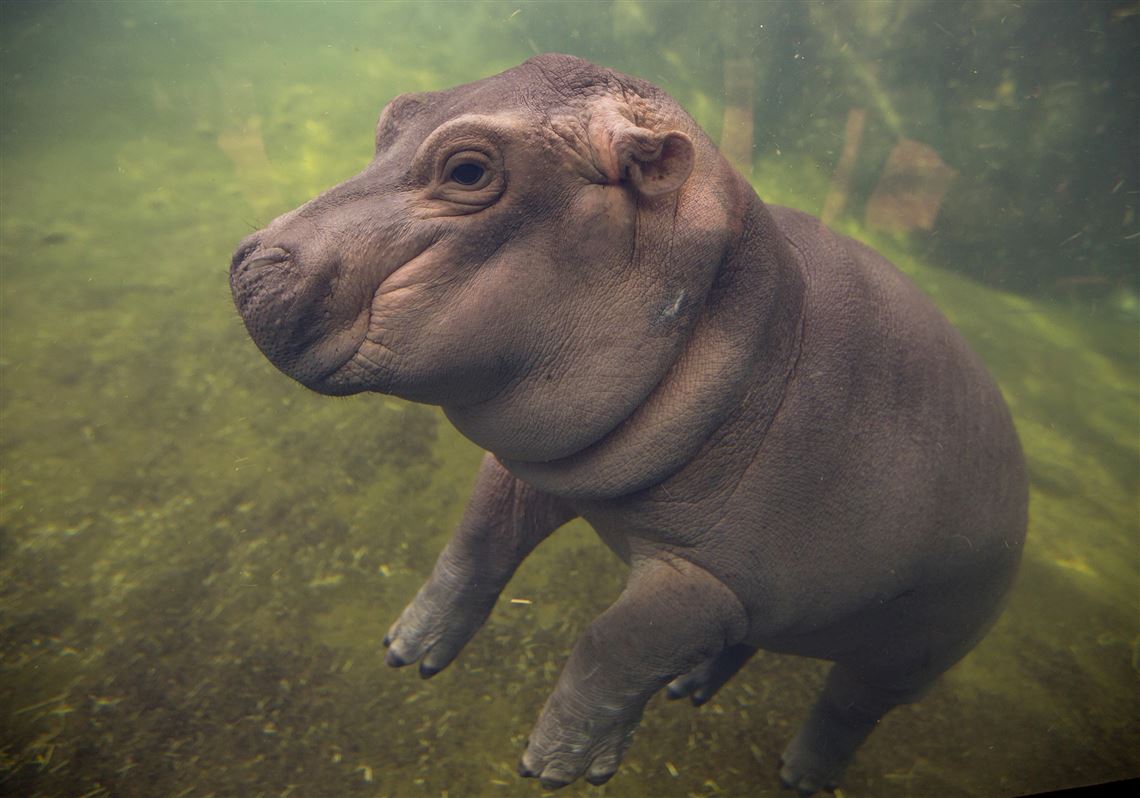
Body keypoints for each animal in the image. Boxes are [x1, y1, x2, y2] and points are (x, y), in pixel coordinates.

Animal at [226, 54, 1030, 793]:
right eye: (395, 113)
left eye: (468, 170)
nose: (248, 260)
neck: (748, 318)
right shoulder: (540, 467)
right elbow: (475, 545)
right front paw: (406, 650)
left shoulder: (708, 577)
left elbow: (614, 642)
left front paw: (556, 767)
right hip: (790, 607)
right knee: (747, 643)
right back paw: (689, 689)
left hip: (911, 651)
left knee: (849, 706)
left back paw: (800, 776)